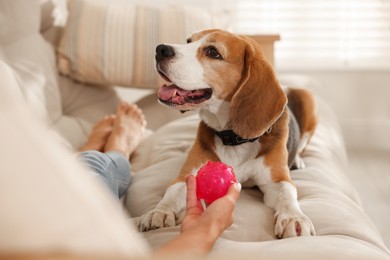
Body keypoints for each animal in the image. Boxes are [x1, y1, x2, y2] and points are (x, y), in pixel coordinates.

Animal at [139, 29, 318, 239]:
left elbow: (287, 194)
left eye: (213, 52)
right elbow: (172, 191)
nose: (160, 49)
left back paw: (297, 160)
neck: (233, 137)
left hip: (308, 99)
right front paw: (159, 211)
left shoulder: (277, 180)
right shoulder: (187, 175)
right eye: (188, 41)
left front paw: (293, 218)